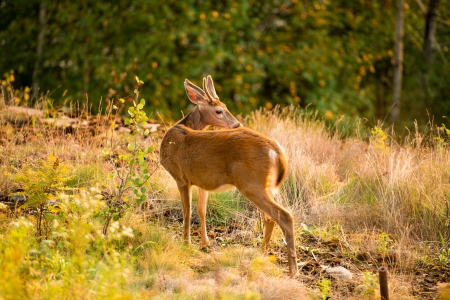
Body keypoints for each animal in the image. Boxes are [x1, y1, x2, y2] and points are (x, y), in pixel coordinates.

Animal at [159, 75, 298, 276]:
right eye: (219, 110)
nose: (237, 124)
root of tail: (277, 151)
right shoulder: (202, 181)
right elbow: (201, 210)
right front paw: (204, 243)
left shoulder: (181, 177)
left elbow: (187, 211)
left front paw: (186, 243)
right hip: (268, 186)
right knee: (270, 218)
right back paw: (261, 254)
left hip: (251, 183)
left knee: (284, 216)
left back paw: (293, 270)